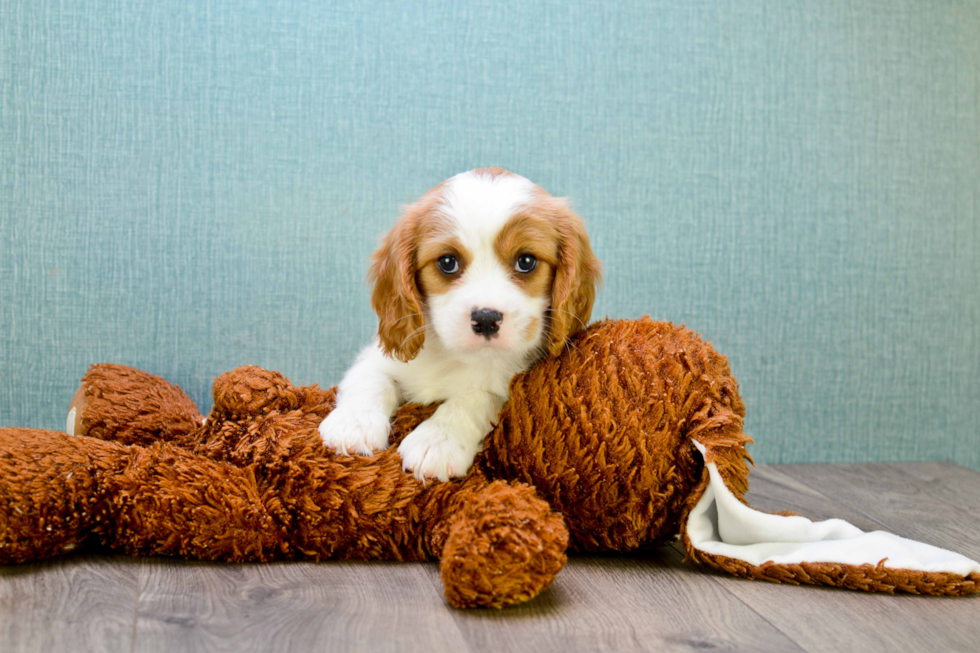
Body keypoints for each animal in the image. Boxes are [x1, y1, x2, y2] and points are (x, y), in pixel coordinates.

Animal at [318, 168, 600, 478]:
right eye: (447, 262)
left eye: (526, 261)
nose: (486, 318)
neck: (454, 357)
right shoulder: (378, 356)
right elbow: (369, 379)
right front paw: (352, 425)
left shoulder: (508, 387)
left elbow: (473, 399)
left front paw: (437, 442)